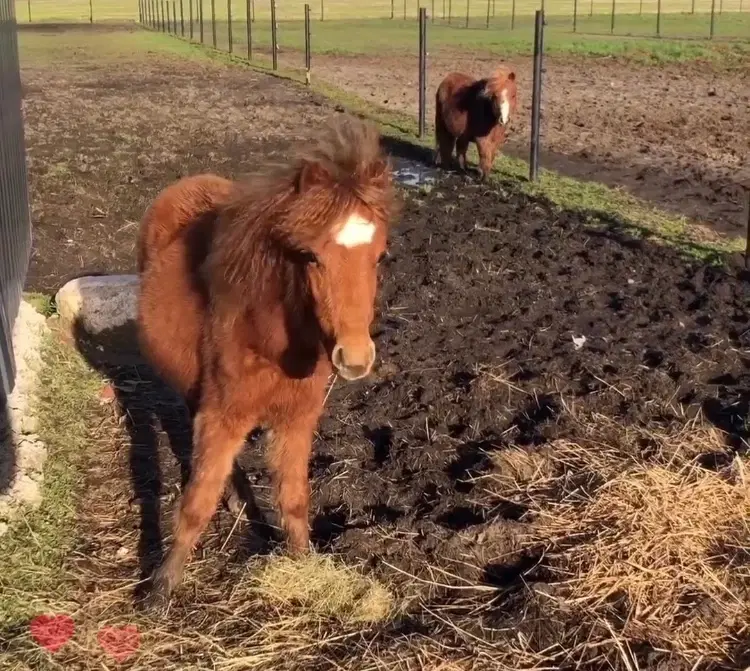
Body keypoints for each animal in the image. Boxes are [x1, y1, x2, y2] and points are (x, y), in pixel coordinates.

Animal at [136, 118, 396, 608]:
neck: (267, 337)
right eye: (311, 256)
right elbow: (197, 500)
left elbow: (293, 499)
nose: (355, 359)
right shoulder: (222, 414)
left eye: (380, 255)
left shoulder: (297, 419)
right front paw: (161, 588)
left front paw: (303, 564)